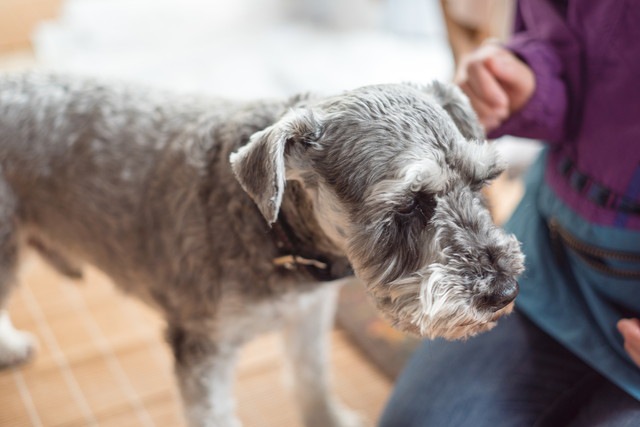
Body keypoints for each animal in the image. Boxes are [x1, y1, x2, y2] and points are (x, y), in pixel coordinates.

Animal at [0, 74, 524, 427]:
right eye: (411, 203)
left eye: (481, 182)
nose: (504, 292)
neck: (276, 233)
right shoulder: (203, 350)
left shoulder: (309, 318)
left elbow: (313, 381)